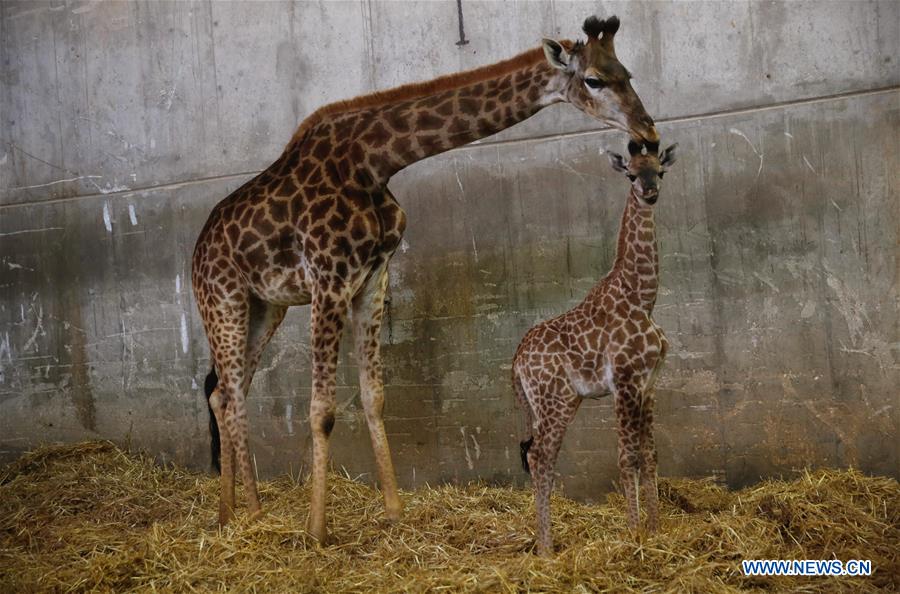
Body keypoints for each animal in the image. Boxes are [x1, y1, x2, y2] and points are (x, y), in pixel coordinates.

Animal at [192, 15, 659, 543]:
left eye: (628, 74)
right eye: (594, 80)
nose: (648, 131)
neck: (373, 162)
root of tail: (195, 253)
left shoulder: (370, 279)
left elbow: (373, 396)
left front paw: (395, 513)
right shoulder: (328, 279)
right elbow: (322, 410)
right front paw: (316, 530)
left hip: (265, 307)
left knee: (227, 392)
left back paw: (236, 512)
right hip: (224, 301)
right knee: (229, 392)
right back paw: (246, 515)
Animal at [513, 140, 678, 556]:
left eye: (660, 171)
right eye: (632, 174)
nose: (650, 192)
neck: (642, 298)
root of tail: (515, 364)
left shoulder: (649, 384)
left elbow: (650, 454)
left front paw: (656, 529)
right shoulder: (624, 383)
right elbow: (627, 456)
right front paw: (635, 532)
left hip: (562, 402)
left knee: (538, 455)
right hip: (554, 401)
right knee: (539, 456)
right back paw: (546, 549)